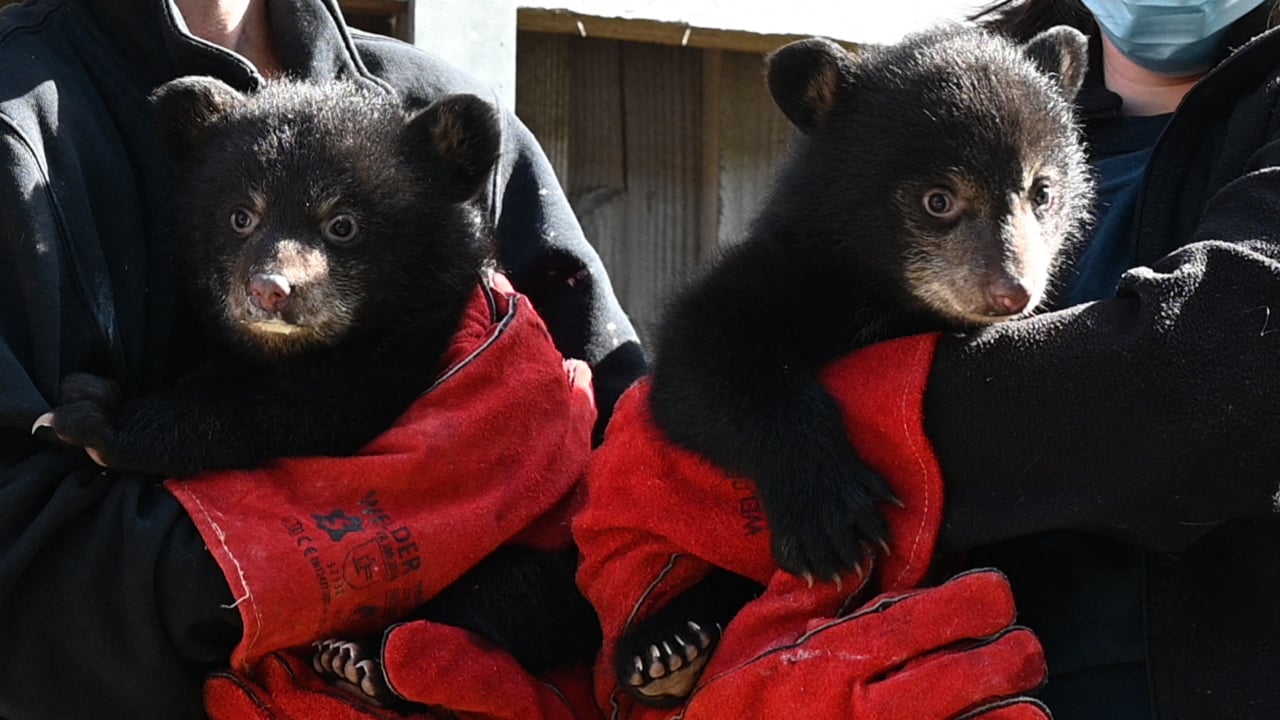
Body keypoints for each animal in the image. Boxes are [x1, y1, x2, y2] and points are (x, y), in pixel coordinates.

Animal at [615, 23, 1095, 707]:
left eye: (1043, 191)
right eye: (938, 199)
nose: (1012, 292)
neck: (891, 300)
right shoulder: (784, 272)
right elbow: (702, 360)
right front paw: (830, 518)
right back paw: (665, 646)